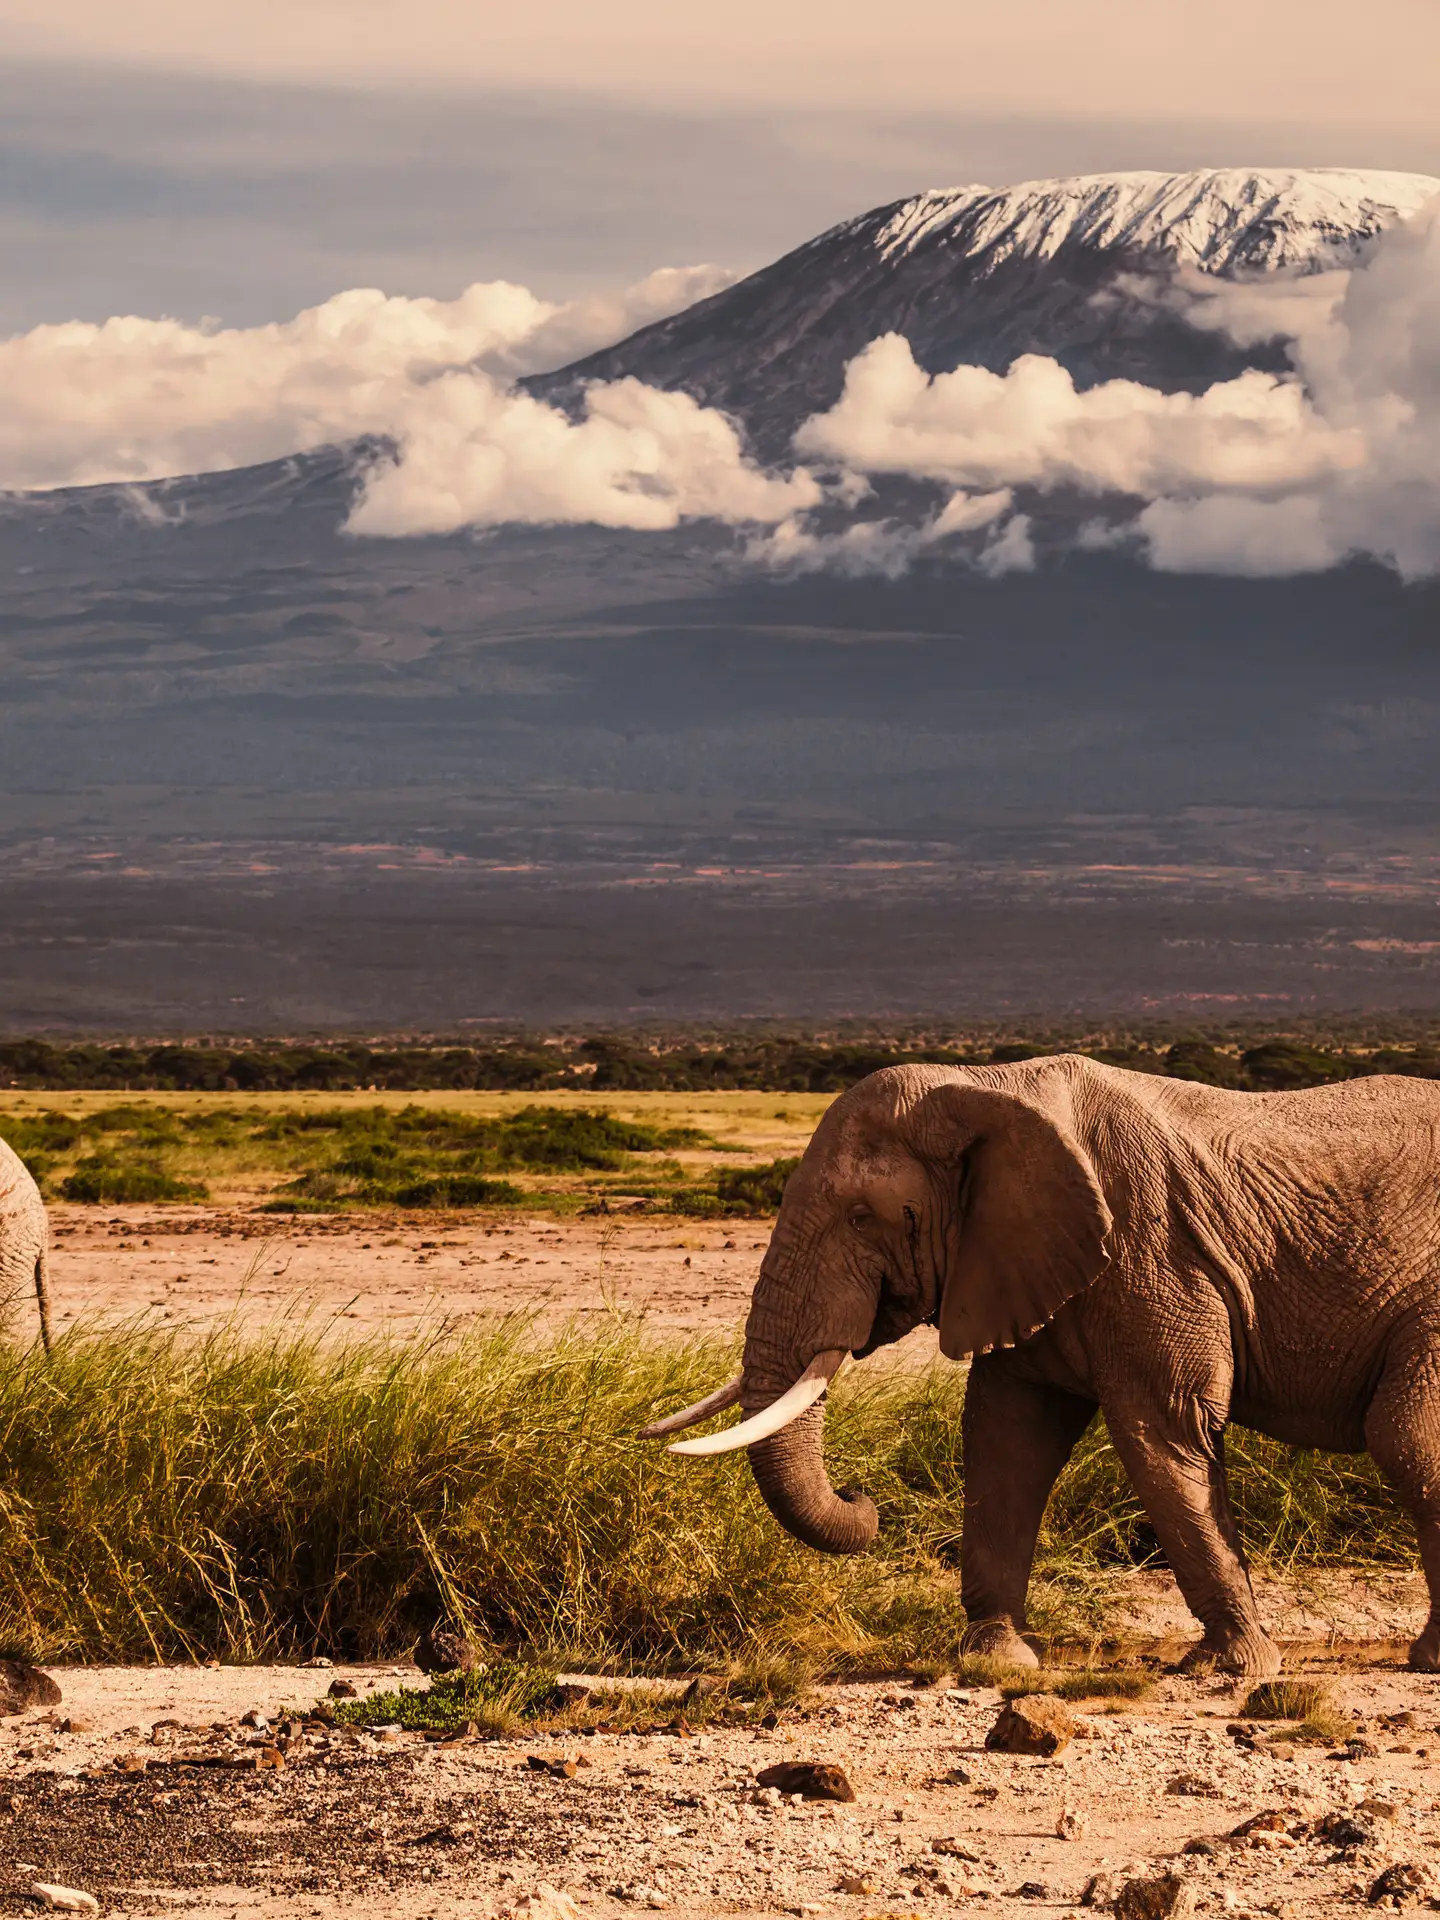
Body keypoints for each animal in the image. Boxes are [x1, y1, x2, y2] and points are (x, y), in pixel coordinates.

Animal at [642, 1057, 1440, 1676]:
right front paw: (995, 1659)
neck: (984, 1086)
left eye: (867, 1217)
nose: (860, 1497)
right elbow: (1008, 1437)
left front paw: (1231, 1666)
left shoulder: (1153, 1250)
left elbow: (1165, 1428)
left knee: (1404, 1438)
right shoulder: (1018, 1257)